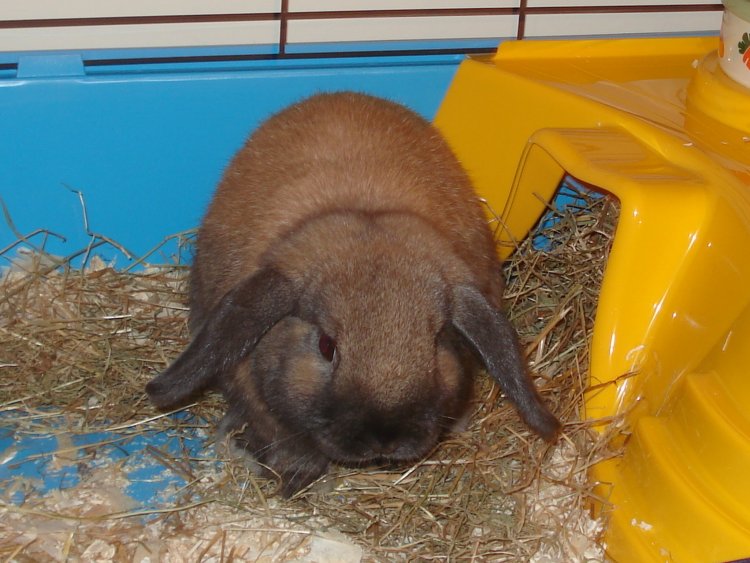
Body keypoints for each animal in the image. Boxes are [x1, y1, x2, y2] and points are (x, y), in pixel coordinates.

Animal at [146, 91, 560, 497]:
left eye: (436, 341)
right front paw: (293, 480)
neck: (364, 212)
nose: (384, 439)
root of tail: (344, 94)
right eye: (326, 346)